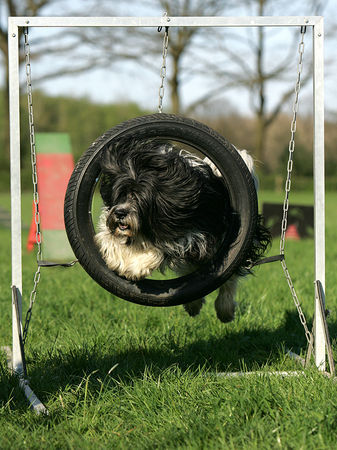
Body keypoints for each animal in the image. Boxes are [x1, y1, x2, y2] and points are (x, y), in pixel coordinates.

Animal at [94, 139, 270, 322]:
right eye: (121, 194)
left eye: (139, 197)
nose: (120, 213)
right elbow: (108, 238)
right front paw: (117, 259)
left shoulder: (194, 236)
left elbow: (163, 248)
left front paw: (138, 267)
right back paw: (194, 305)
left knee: (229, 278)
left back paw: (225, 309)